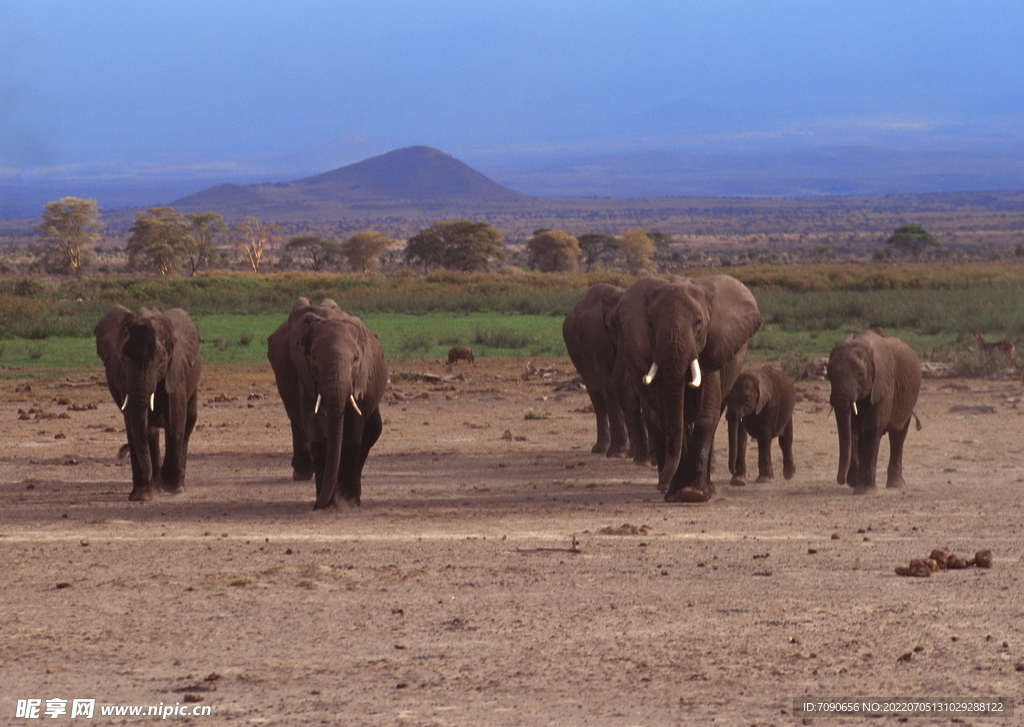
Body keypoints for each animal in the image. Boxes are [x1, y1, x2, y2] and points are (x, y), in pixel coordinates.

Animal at [94, 305, 201, 501]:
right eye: (122, 359)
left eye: (162, 360)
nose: (120, 454)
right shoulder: (124, 378)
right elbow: (133, 425)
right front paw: (141, 496)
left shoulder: (175, 369)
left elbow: (175, 421)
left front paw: (171, 488)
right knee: (150, 431)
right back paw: (156, 487)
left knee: (189, 420)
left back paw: (175, 485)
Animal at [266, 298, 385, 509]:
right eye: (313, 357)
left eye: (356, 359)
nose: (316, 505)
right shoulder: (304, 374)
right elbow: (318, 432)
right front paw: (327, 504)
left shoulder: (360, 379)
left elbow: (353, 435)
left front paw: (348, 501)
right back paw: (301, 475)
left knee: (372, 430)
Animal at [561, 282, 630, 458]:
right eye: (613, 324)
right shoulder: (596, 337)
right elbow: (609, 384)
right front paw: (619, 453)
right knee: (597, 397)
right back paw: (601, 450)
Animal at [610, 276, 765, 503]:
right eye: (650, 324)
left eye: (699, 323)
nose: (662, 482)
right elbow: (670, 418)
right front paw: (677, 493)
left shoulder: (711, 353)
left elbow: (706, 413)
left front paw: (693, 493)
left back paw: (707, 488)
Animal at [827, 331, 925, 495]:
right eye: (828, 375)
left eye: (861, 374)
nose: (841, 480)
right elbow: (853, 429)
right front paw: (855, 483)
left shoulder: (884, 383)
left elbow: (871, 427)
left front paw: (864, 491)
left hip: (908, 399)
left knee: (898, 435)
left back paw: (896, 485)